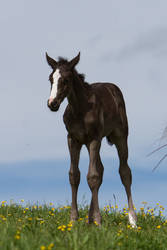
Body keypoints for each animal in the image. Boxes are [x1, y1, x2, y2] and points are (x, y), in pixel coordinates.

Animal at [46, 51, 137, 228]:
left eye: (65, 80)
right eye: (50, 79)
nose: (52, 103)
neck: (80, 110)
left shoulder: (94, 138)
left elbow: (92, 176)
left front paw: (98, 221)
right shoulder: (73, 139)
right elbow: (75, 175)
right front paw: (74, 220)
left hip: (120, 136)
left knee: (124, 171)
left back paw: (132, 220)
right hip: (90, 143)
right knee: (100, 169)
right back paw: (89, 219)